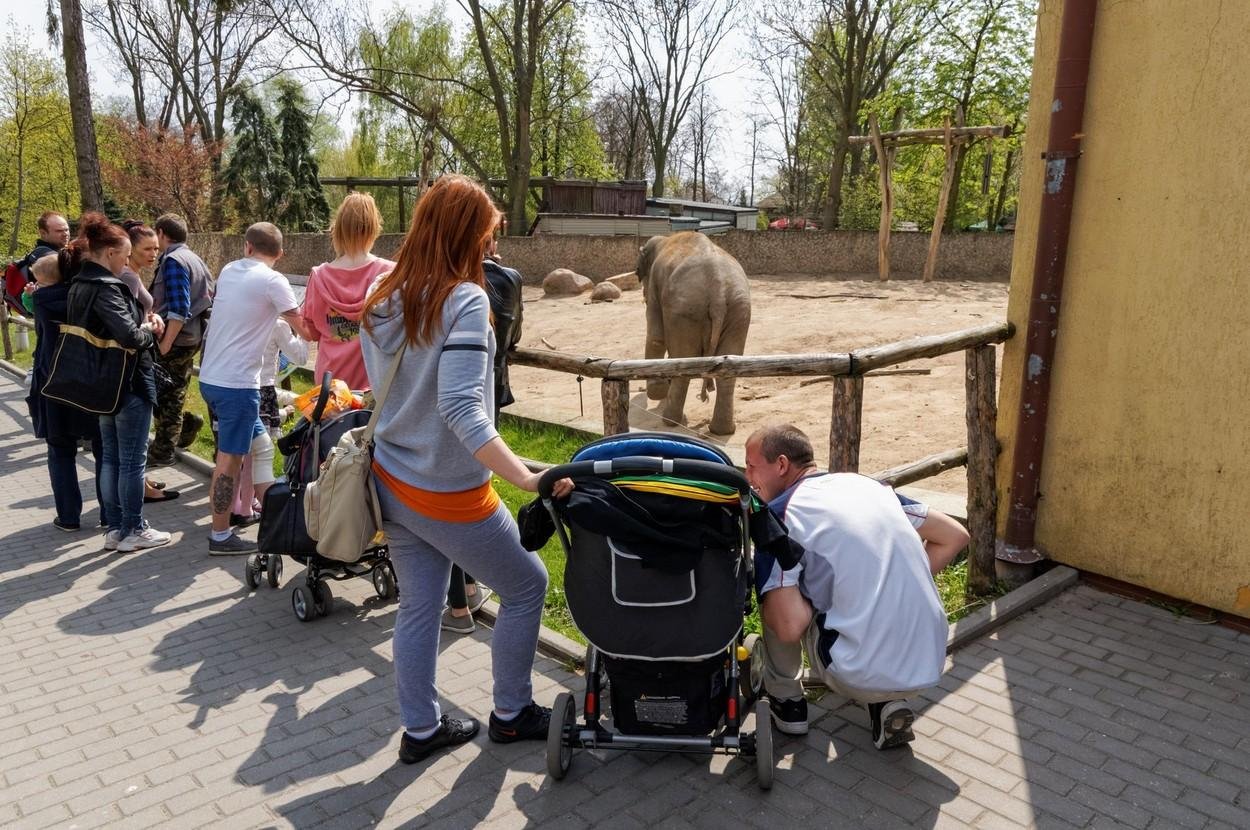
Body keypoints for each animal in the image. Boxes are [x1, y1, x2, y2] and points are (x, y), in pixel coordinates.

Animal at [635, 231, 750, 435]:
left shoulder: (656, 284)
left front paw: (657, 393)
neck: (665, 239)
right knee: (729, 369)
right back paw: (722, 430)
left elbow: (657, 338)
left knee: (683, 362)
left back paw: (670, 421)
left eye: (637, 272)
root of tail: (718, 290)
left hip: (685, 310)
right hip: (739, 310)